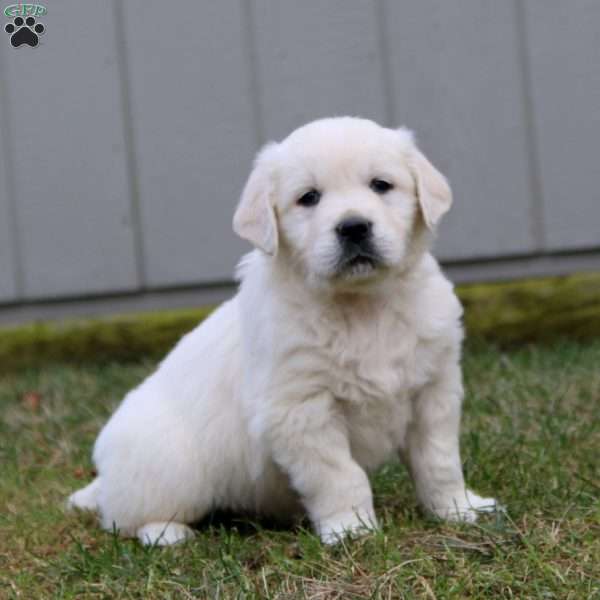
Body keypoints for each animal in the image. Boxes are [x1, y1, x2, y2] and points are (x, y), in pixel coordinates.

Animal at [69, 116, 496, 544]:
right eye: (309, 198)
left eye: (381, 185)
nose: (354, 227)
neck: (361, 306)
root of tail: (104, 478)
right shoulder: (301, 409)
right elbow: (340, 476)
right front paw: (352, 530)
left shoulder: (434, 389)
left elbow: (439, 461)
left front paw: (458, 510)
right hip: (168, 468)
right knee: (127, 518)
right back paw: (167, 534)